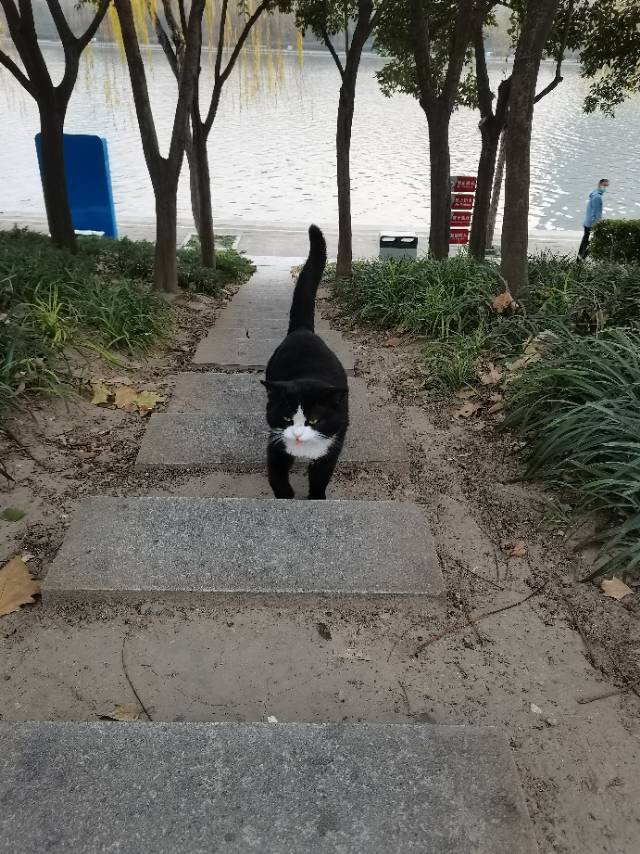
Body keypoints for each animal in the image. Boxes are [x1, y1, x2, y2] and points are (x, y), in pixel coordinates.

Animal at [262, 222, 348, 502]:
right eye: (287, 418)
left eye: (314, 421)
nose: (298, 435)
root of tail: (302, 330)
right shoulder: (275, 444)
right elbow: (276, 477)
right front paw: (286, 496)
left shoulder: (332, 445)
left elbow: (321, 477)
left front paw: (317, 498)